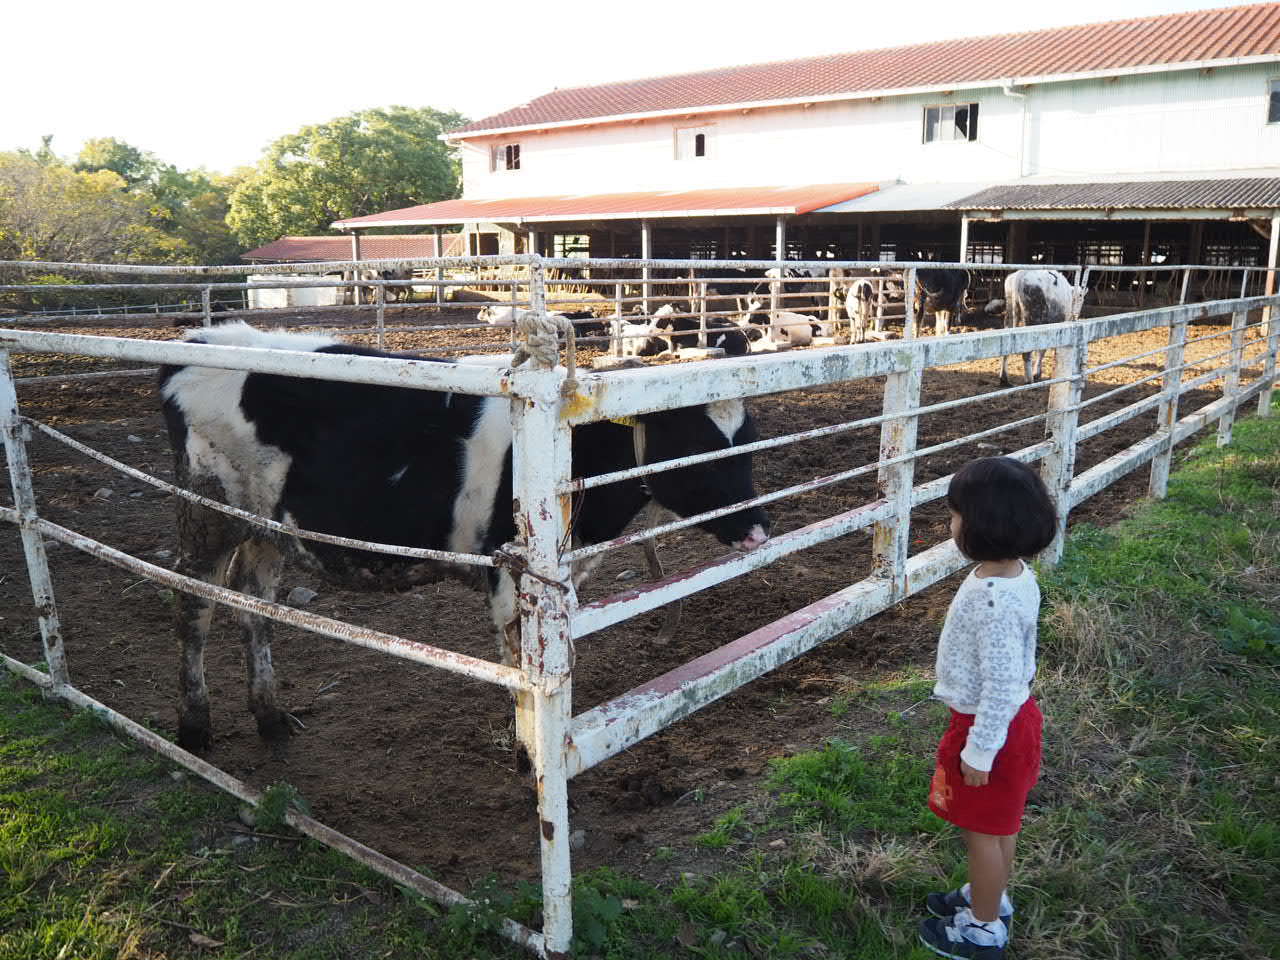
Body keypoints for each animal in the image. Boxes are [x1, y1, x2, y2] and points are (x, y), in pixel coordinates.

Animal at [160, 327, 768, 762]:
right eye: (695, 445)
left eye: (750, 438)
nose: (758, 530)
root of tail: (200, 341)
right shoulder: (510, 578)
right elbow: (523, 677)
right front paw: (527, 755)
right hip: (206, 510)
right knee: (193, 605)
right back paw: (194, 726)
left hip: (265, 526)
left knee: (251, 605)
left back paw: (269, 716)